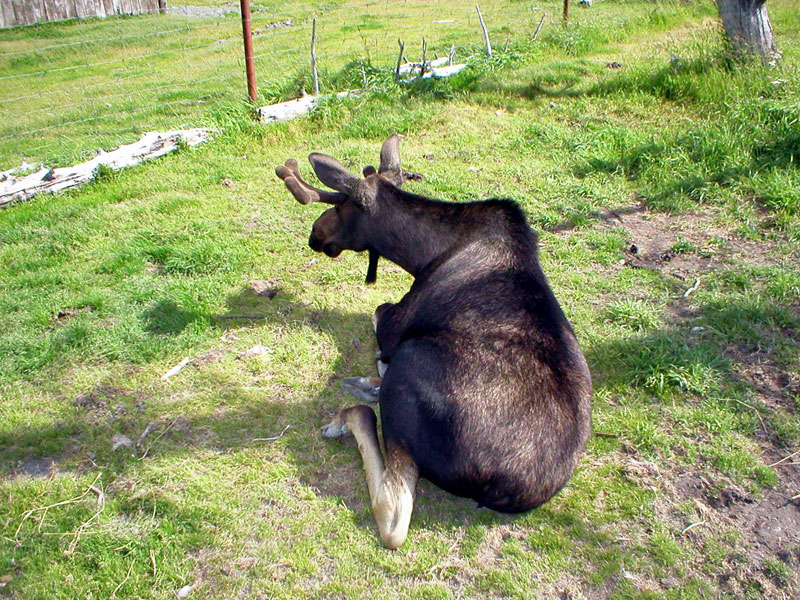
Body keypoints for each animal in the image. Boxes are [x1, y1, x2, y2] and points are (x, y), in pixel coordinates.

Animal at [275, 135, 592, 549]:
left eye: (341, 206)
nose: (316, 234)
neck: (421, 255)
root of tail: (506, 488)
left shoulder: (396, 324)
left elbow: (377, 312)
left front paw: (373, 370)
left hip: (412, 365)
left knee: (393, 515)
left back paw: (352, 411)